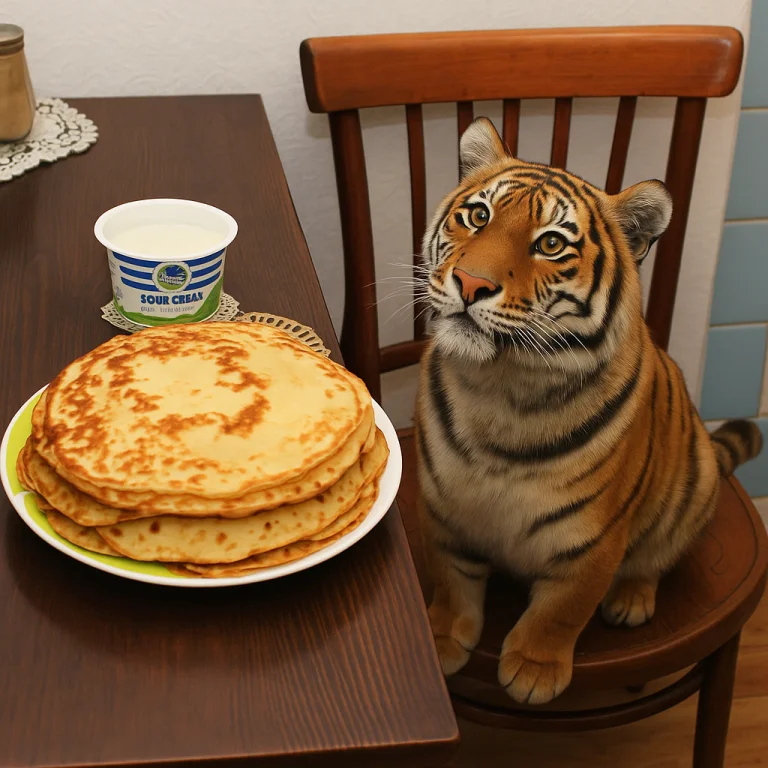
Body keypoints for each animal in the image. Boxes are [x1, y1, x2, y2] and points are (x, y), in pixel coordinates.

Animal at [415, 116, 762, 706]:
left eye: (551, 243)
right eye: (478, 215)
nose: (471, 284)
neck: (499, 386)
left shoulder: (593, 539)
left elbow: (562, 609)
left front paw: (533, 671)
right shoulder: (443, 512)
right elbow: (451, 581)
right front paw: (441, 643)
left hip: (692, 491)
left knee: (657, 558)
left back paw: (631, 599)